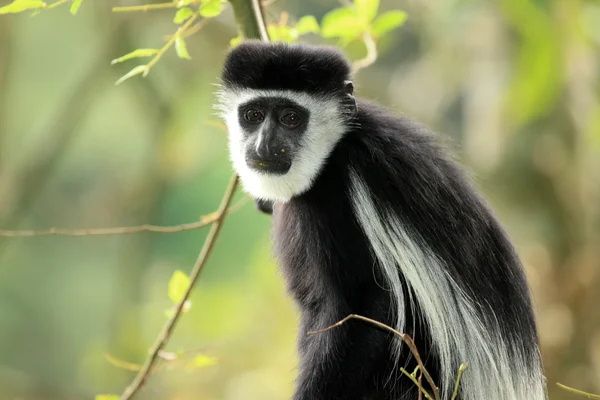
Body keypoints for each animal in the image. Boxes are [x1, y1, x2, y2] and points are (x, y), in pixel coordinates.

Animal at [218, 41, 548, 400]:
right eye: (253, 115)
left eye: (291, 118)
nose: (264, 145)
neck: (335, 149)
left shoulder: (343, 198)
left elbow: (369, 306)